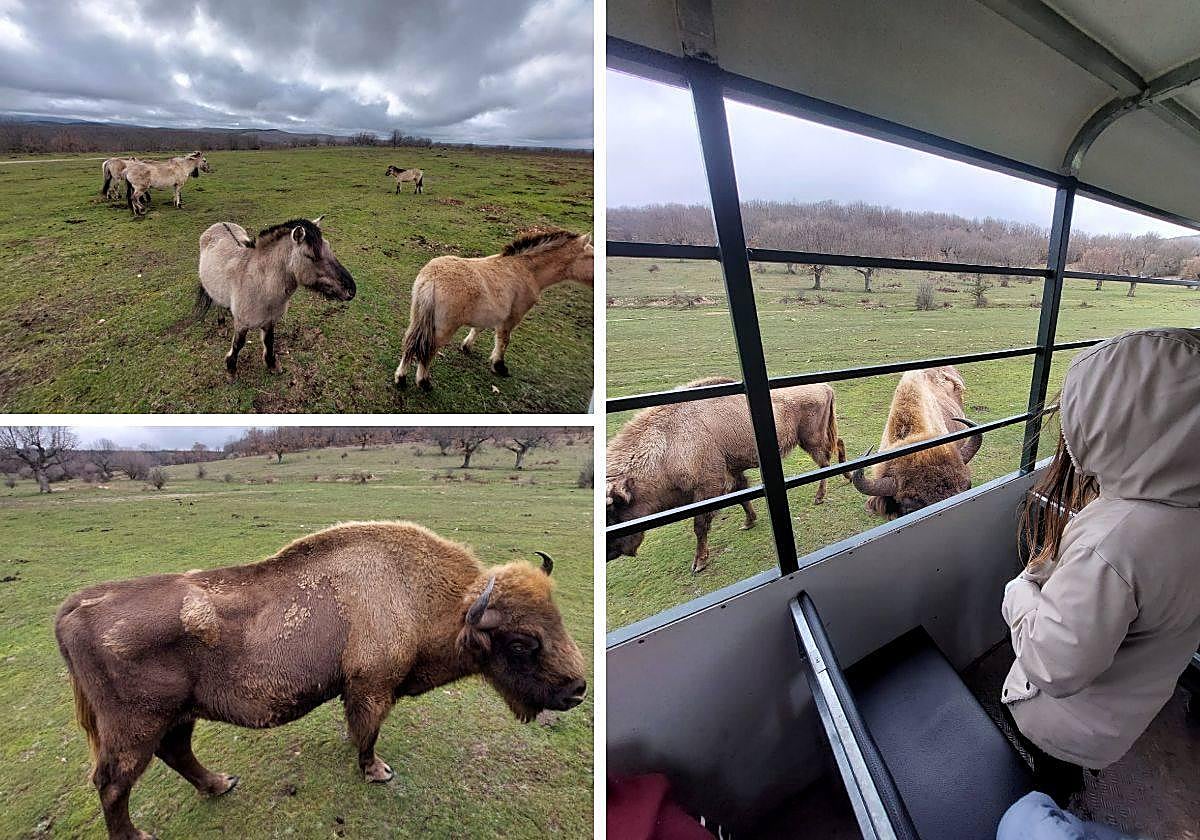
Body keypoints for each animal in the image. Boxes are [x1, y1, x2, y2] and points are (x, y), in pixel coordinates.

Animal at [195, 216, 356, 378]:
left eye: (328, 247)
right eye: (311, 256)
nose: (351, 291)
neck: (261, 285)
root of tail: (220, 224)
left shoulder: (270, 321)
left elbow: (269, 341)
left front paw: (272, 364)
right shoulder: (242, 324)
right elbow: (238, 344)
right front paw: (231, 369)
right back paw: (221, 325)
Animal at [394, 227, 593, 390]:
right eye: (591, 257)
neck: (526, 269)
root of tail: (432, 279)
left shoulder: (489, 313)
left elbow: (478, 329)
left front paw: (466, 347)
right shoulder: (512, 317)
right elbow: (503, 340)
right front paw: (499, 366)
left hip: (417, 317)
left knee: (409, 342)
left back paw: (400, 378)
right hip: (444, 327)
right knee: (428, 348)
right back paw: (423, 382)